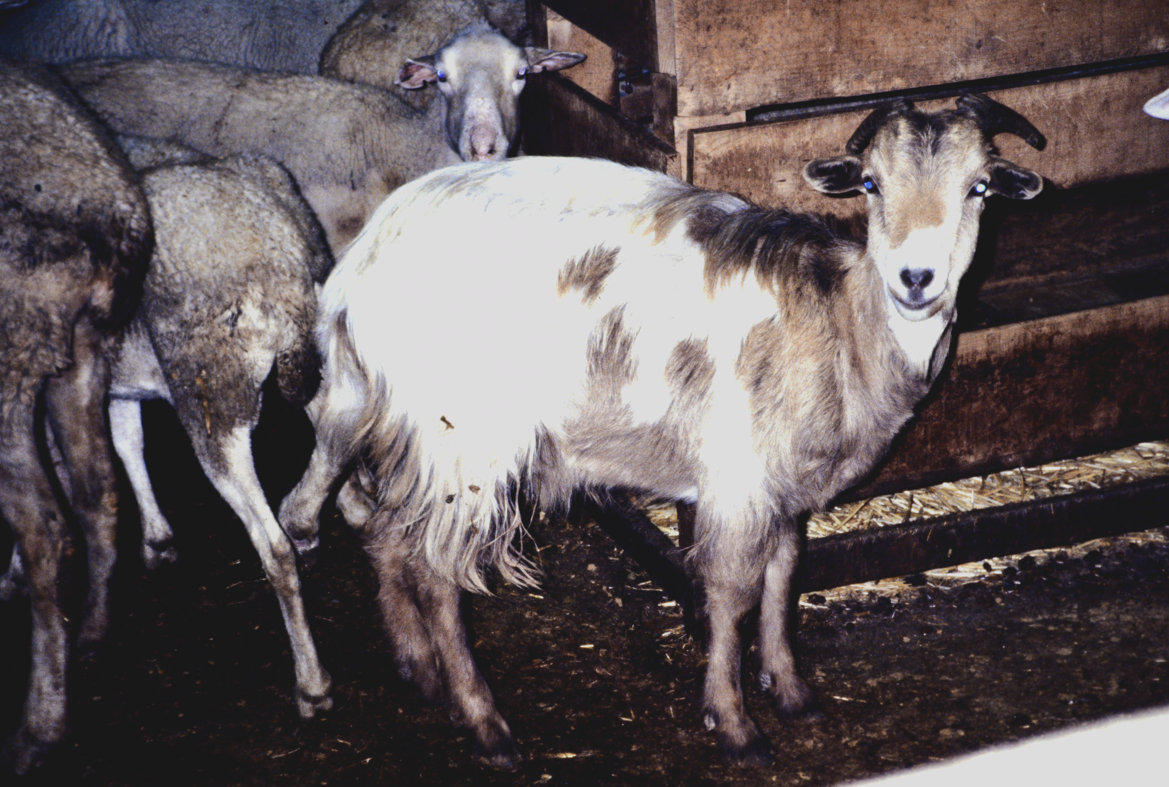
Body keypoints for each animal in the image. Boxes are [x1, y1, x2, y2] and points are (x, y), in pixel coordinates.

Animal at [276, 93, 1046, 766]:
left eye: (979, 188)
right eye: (869, 183)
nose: (916, 278)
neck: (839, 322)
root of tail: (353, 277)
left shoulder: (786, 483)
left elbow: (783, 577)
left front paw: (792, 691)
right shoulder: (736, 476)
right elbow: (731, 595)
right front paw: (733, 723)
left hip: (399, 427)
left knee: (384, 533)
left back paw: (417, 667)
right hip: (461, 439)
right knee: (436, 572)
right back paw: (486, 723)